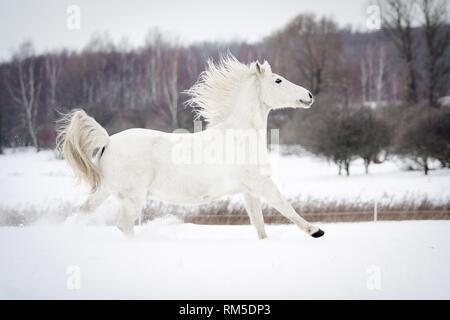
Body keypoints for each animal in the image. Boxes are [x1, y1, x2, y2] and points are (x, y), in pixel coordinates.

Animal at [58, 55, 324, 239]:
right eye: (278, 80)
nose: (309, 95)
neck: (240, 135)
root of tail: (108, 141)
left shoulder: (249, 191)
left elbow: (259, 224)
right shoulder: (261, 183)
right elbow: (286, 207)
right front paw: (316, 231)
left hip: (106, 190)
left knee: (82, 213)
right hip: (133, 196)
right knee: (124, 225)